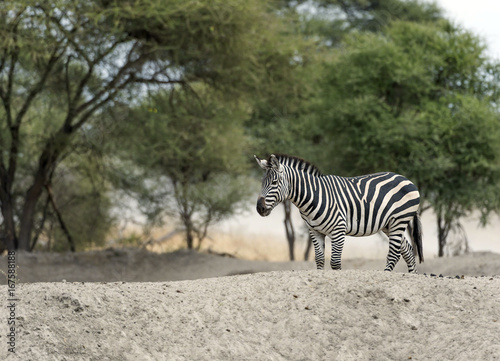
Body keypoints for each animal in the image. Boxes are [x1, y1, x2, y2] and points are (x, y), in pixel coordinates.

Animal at [254, 153, 422, 272]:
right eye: (262, 183)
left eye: (274, 182)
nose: (259, 208)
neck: (315, 196)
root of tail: (406, 179)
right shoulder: (314, 231)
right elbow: (319, 259)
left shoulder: (338, 230)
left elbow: (335, 262)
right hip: (388, 224)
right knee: (407, 250)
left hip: (399, 220)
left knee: (394, 254)